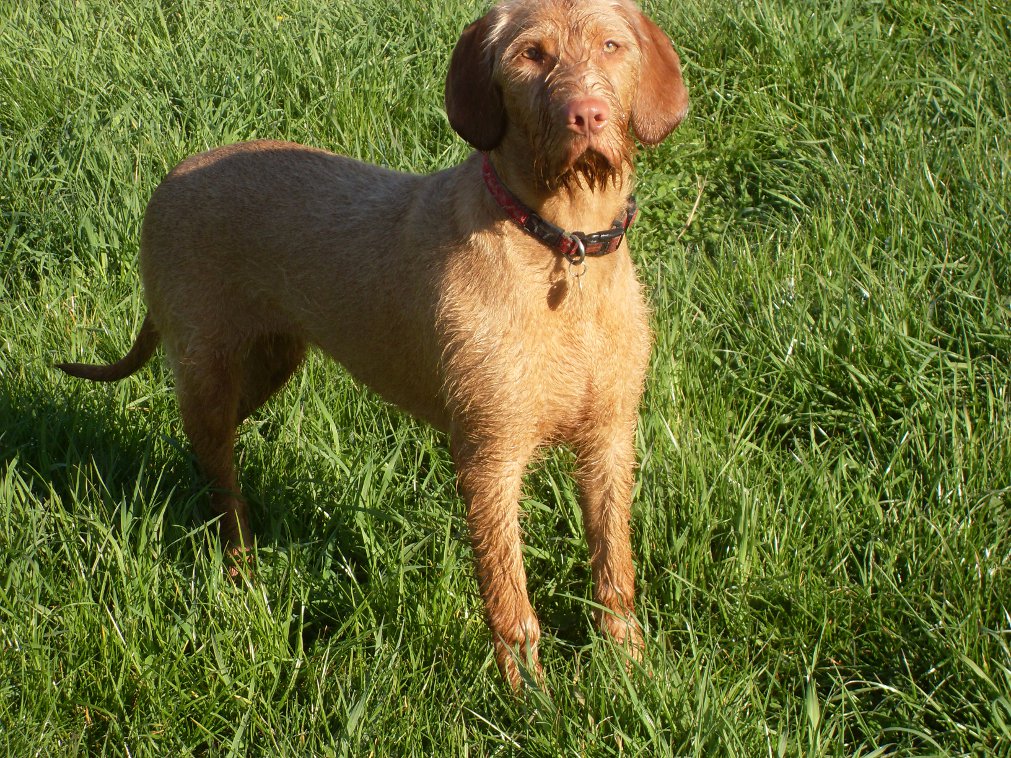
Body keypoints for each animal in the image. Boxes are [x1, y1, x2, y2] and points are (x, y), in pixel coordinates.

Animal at [58, 0, 688, 688]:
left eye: (611, 46)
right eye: (531, 55)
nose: (588, 114)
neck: (560, 246)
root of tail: (170, 180)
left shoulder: (609, 442)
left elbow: (615, 573)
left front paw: (631, 669)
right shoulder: (488, 456)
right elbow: (509, 598)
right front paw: (527, 694)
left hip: (267, 366)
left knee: (207, 448)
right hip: (209, 370)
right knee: (220, 473)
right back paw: (239, 566)